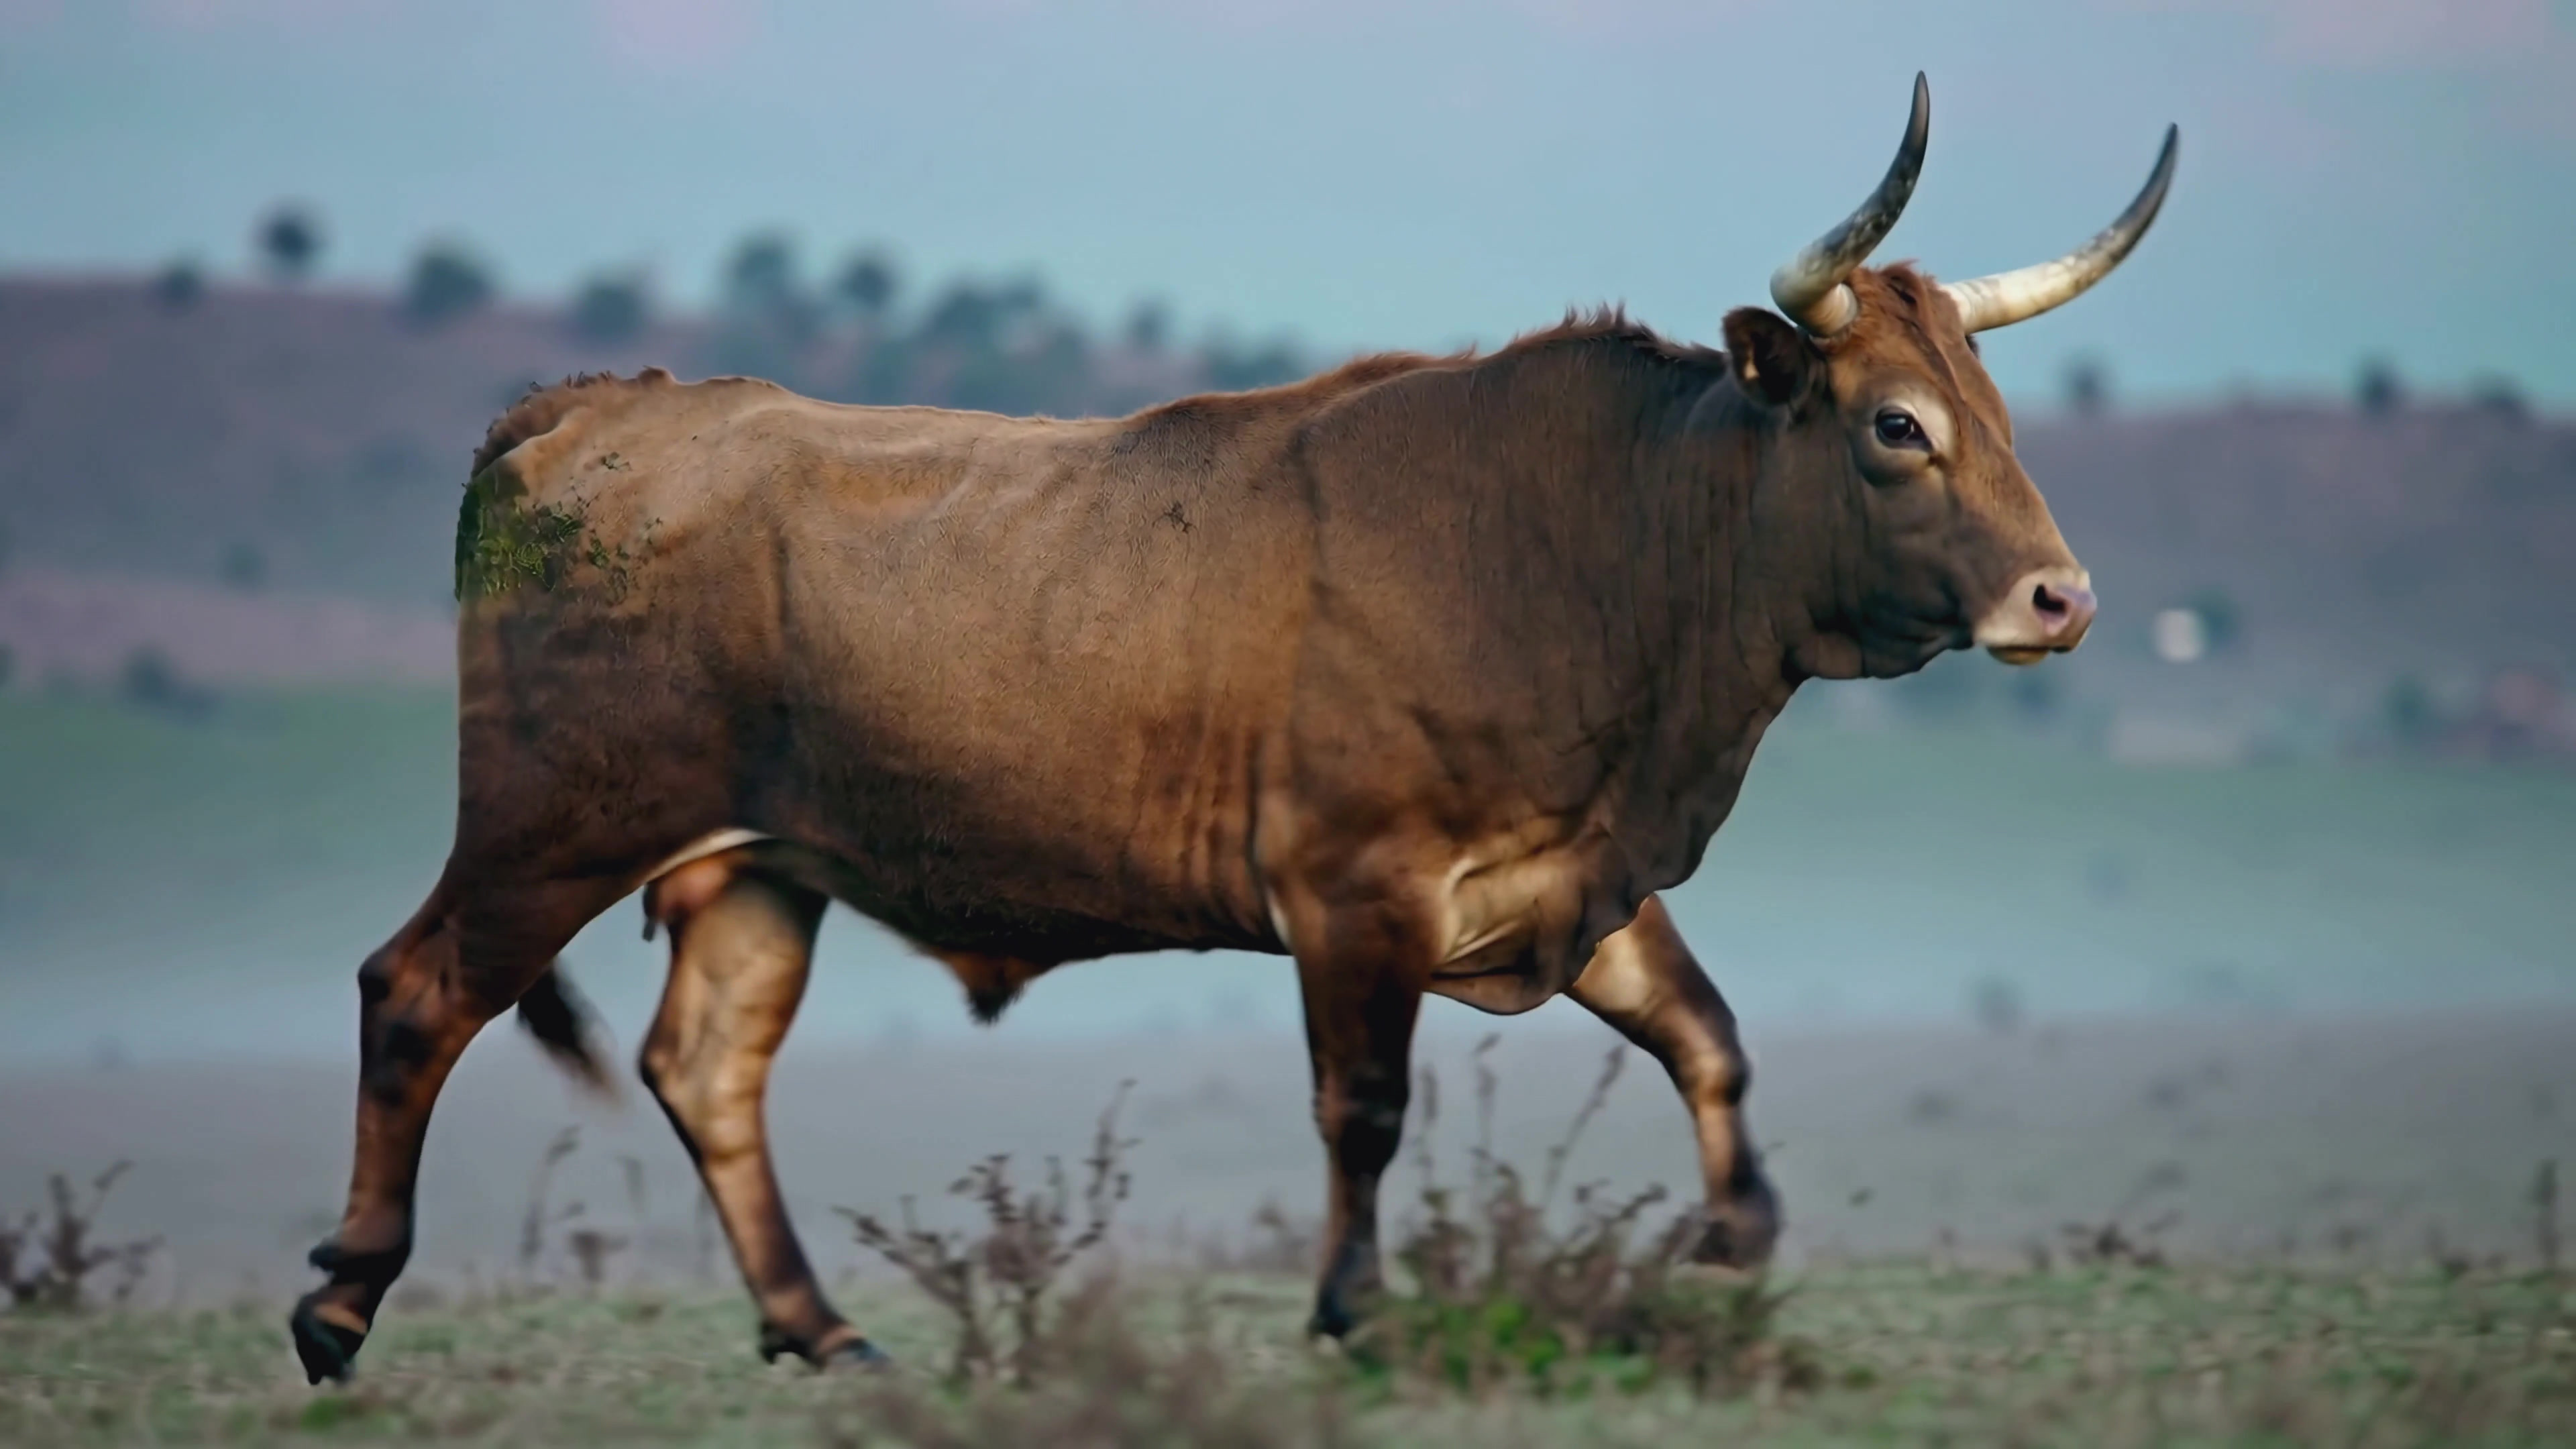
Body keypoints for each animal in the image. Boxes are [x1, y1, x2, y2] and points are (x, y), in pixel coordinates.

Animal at [290, 73, 2175, 1382]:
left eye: (1998, 411)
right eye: (1895, 425)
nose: (2062, 599)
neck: (1595, 539)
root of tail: (596, 410)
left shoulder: (1569, 877)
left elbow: (1707, 1041)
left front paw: (1726, 1243)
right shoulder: (1353, 890)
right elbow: (1365, 1108)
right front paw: (1351, 1309)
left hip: (762, 864)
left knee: (707, 1065)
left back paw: (822, 1330)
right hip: (555, 824)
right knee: (418, 990)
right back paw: (341, 1303)